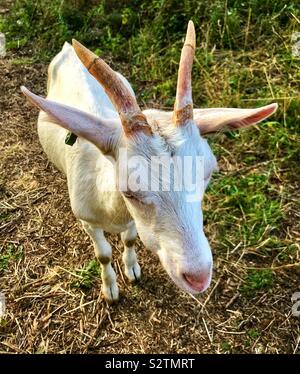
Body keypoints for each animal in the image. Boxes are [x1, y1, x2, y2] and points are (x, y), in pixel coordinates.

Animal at [22, 21, 278, 304]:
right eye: (130, 191)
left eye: (208, 173)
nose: (198, 277)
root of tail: (68, 48)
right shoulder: (88, 221)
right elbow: (103, 254)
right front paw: (110, 289)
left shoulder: (133, 222)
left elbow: (131, 240)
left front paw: (132, 270)